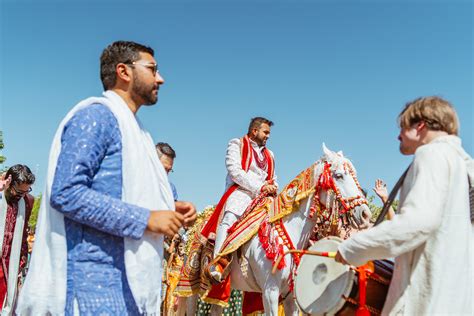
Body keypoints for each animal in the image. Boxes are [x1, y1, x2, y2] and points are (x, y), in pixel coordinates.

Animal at [181, 144, 370, 314]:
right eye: (338, 175)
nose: (365, 214)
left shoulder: (290, 296)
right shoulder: (270, 291)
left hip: (219, 291)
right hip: (192, 288)